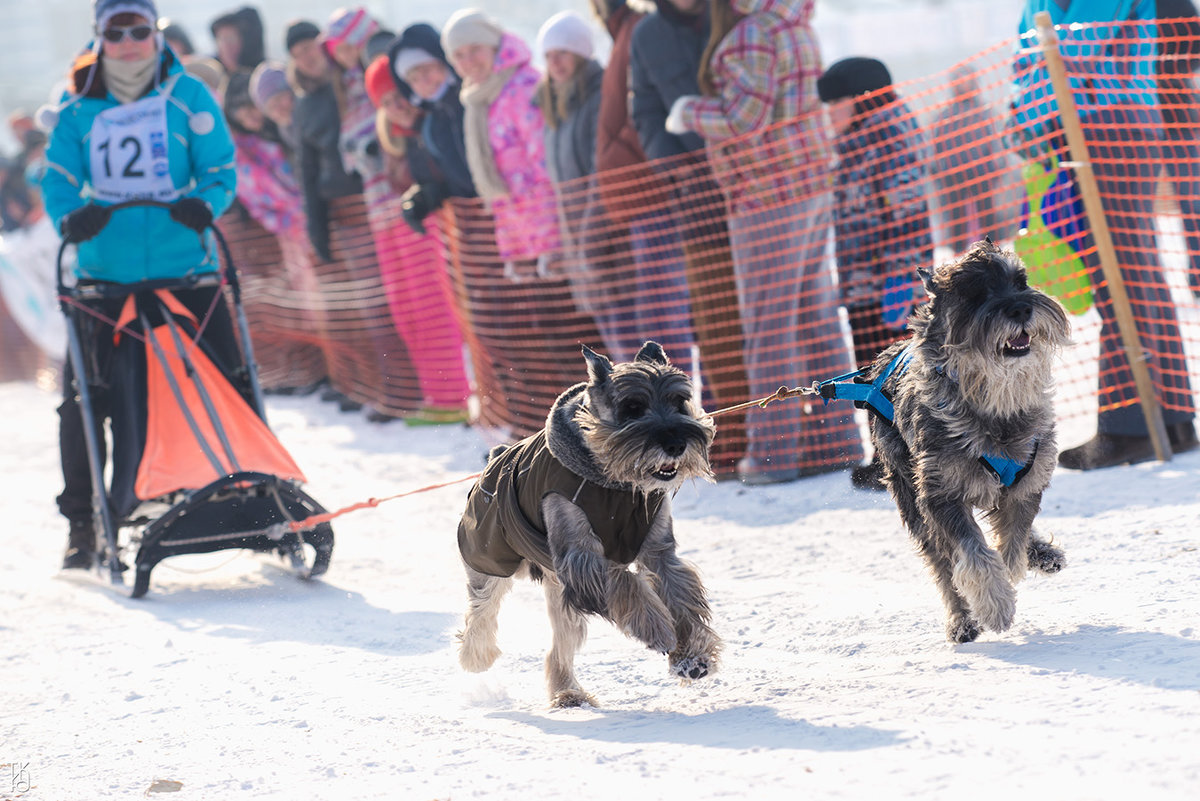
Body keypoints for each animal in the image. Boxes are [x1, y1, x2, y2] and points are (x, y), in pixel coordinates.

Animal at [456, 340, 720, 705]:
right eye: (632, 407)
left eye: (679, 400)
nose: (676, 443)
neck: (616, 485)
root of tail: (496, 457)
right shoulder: (583, 558)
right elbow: (626, 583)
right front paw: (658, 630)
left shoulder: (659, 553)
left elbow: (683, 597)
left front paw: (692, 657)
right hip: (489, 556)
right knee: (481, 609)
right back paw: (475, 657)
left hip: (560, 593)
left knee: (559, 647)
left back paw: (568, 692)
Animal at [844, 241, 1070, 642]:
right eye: (975, 293)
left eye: (1021, 280)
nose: (1021, 308)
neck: (992, 402)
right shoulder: (940, 496)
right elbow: (973, 554)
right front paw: (995, 605)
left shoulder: (1027, 484)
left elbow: (1012, 543)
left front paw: (1019, 563)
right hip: (910, 499)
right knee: (941, 565)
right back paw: (962, 621)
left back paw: (1042, 553)